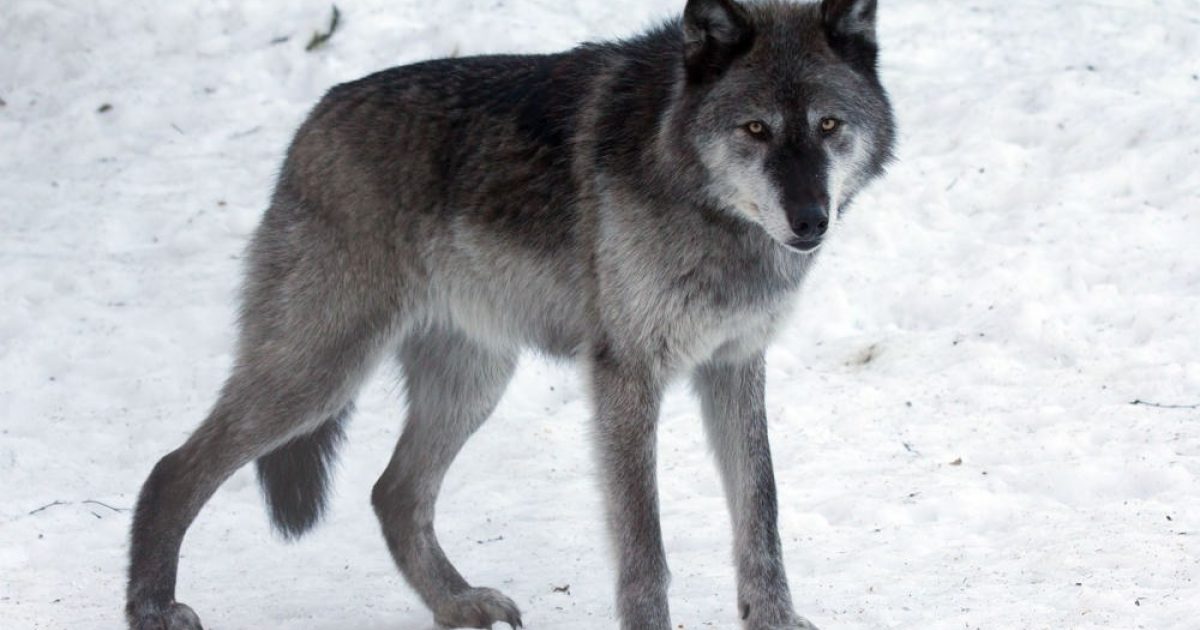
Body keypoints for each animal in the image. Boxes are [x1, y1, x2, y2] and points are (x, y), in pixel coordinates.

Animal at [125, 0, 895, 628]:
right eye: (756, 129)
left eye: (829, 125)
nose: (810, 219)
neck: (707, 207)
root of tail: (312, 122)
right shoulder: (626, 378)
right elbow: (644, 546)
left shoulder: (735, 365)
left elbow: (761, 512)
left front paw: (776, 620)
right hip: (320, 375)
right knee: (171, 468)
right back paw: (153, 610)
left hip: (472, 382)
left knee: (393, 493)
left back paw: (458, 604)